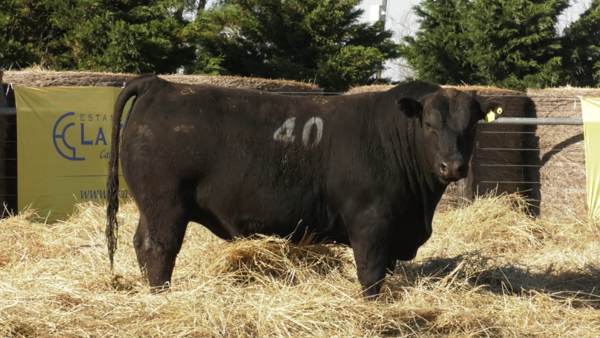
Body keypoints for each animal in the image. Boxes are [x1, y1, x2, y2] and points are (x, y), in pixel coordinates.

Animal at [104, 76, 502, 298]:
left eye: (472, 126)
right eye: (430, 125)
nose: (453, 166)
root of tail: (160, 84)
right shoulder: (371, 224)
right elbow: (370, 276)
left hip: (151, 207)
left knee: (141, 244)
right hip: (166, 205)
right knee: (159, 249)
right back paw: (162, 296)